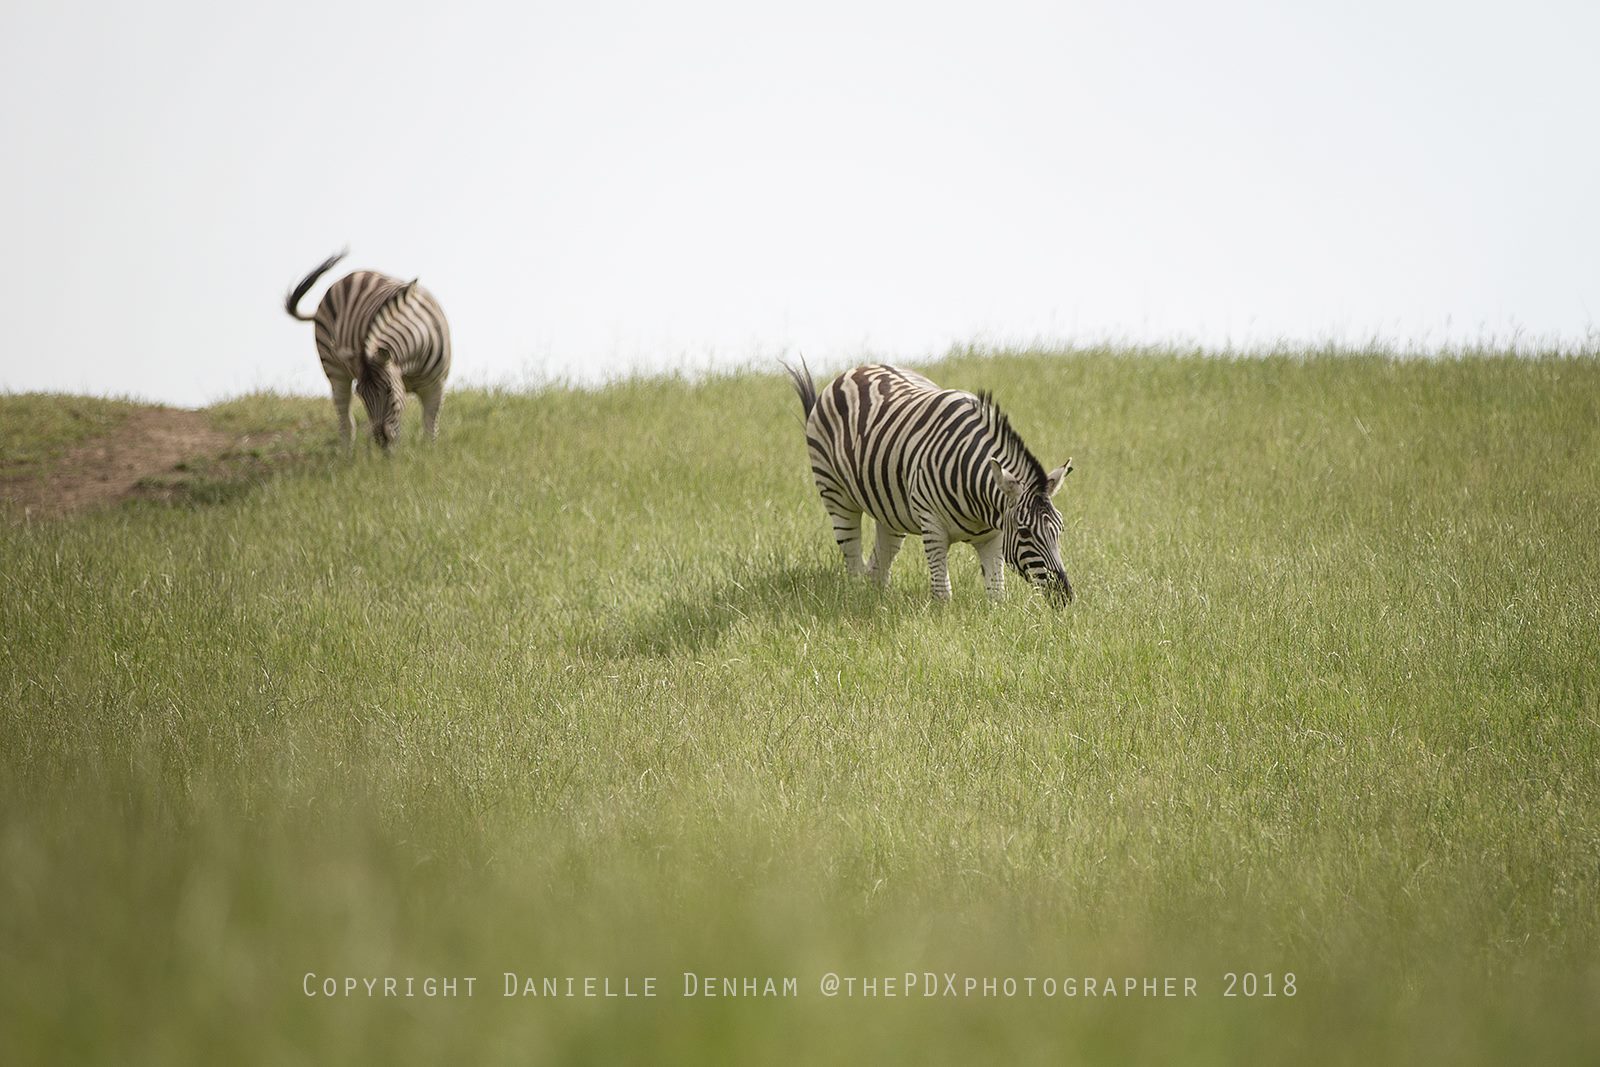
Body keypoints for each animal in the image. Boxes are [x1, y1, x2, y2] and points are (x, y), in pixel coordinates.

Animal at [284, 251, 451, 451]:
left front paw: (428, 454)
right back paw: (346, 455)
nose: (382, 441)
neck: (410, 361)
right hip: (333, 367)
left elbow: (430, 427)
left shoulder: (436, 385)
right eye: (361, 396)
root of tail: (350, 276)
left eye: (389, 391)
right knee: (345, 419)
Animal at [784, 363, 1081, 604]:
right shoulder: (933, 528)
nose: (1063, 596)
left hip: (889, 507)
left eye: (1060, 529)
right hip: (836, 494)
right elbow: (942, 594)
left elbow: (997, 594)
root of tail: (856, 370)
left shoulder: (993, 538)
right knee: (852, 553)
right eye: (1025, 532)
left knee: (882, 557)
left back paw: (878, 598)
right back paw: (857, 596)